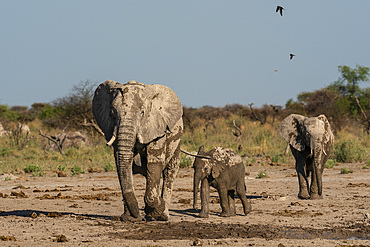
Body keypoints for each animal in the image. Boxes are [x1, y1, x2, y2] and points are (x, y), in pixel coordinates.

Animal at [92, 80, 182, 221]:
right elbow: (122, 165)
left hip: (177, 140)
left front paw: (157, 211)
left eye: (142, 112)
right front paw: (129, 219)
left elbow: (155, 163)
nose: (139, 216)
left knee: (169, 172)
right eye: (112, 114)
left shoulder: (157, 129)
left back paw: (163, 215)